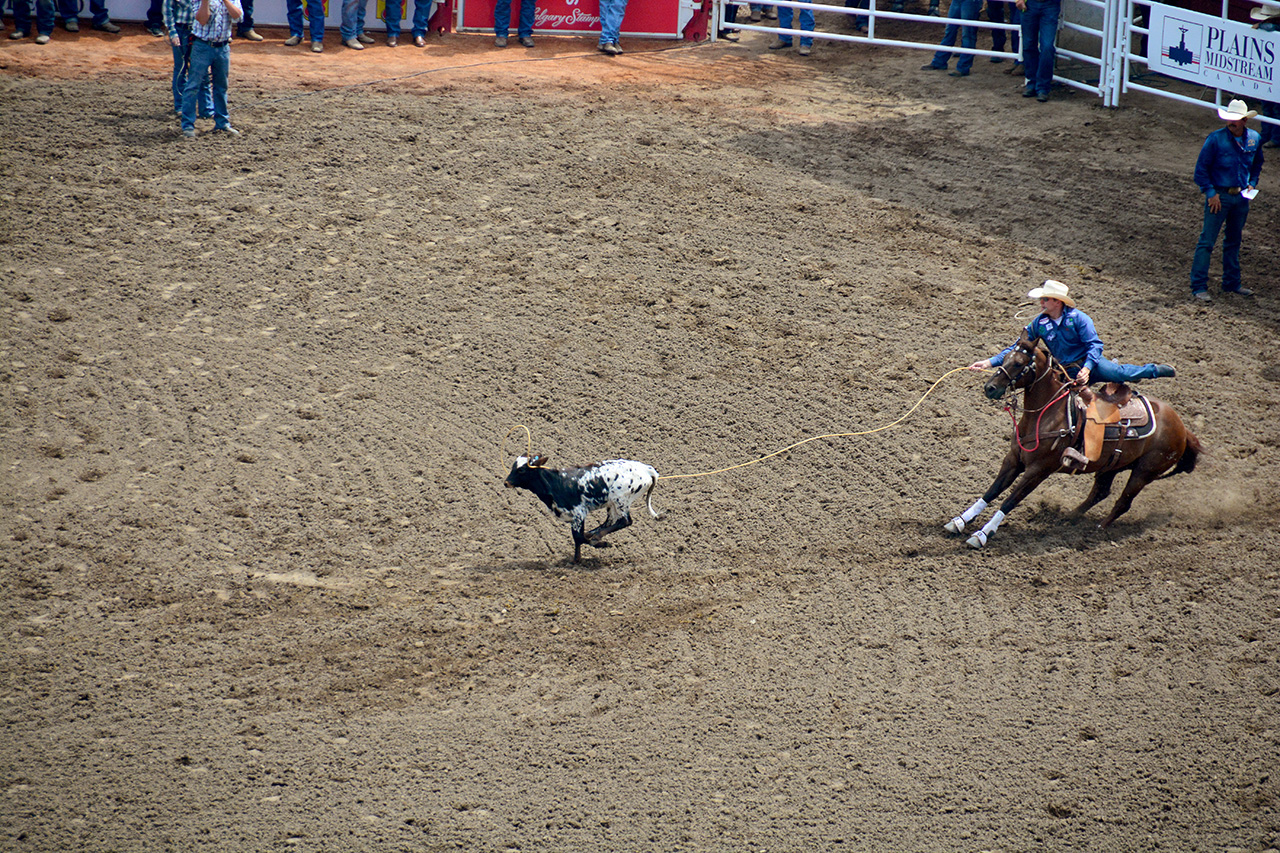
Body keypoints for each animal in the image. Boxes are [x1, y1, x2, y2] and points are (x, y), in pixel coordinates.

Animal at [501, 450, 660, 563]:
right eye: (513, 466)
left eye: (521, 470)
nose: (506, 483)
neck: (557, 483)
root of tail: (647, 469)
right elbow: (578, 538)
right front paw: (576, 559)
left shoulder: (579, 513)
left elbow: (578, 537)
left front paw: (601, 544)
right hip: (612, 503)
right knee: (610, 521)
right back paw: (594, 533)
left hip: (621, 500)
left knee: (625, 521)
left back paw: (597, 537)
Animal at [947, 327, 1203, 548]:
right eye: (1005, 356)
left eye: (1019, 363)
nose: (990, 388)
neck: (1046, 414)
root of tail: (1183, 428)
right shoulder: (1013, 459)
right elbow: (992, 491)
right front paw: (959, 521)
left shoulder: (1038, 470)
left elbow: (1010, 499)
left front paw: (982, 534)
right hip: (1112, 466)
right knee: (1100, 493)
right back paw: (1068, 519)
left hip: (1144, 472)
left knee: (1124, 501)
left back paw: (1098, 529)